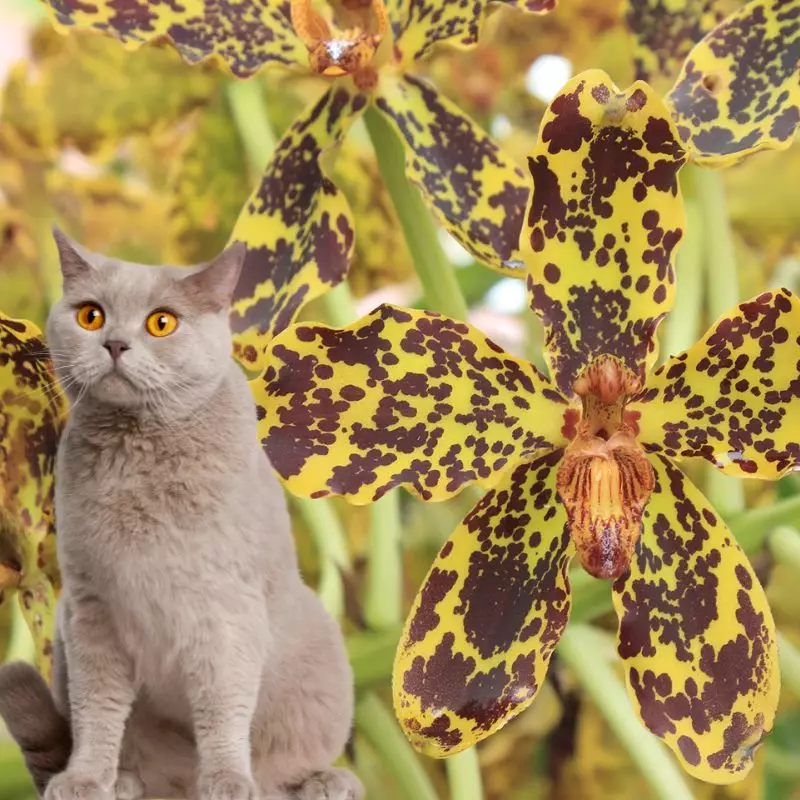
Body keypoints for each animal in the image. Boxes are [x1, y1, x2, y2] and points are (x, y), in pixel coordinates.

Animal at [0, 230, 360, 800]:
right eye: (91, 316)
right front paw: (86, 779)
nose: (114, 343)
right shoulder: (90, 608)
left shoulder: (224, 610)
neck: (137, 456)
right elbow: (97, 710)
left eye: (161, 323)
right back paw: (127, 782)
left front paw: (229, 782)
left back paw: (324, 781)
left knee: (286, 767)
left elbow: (221, 708)